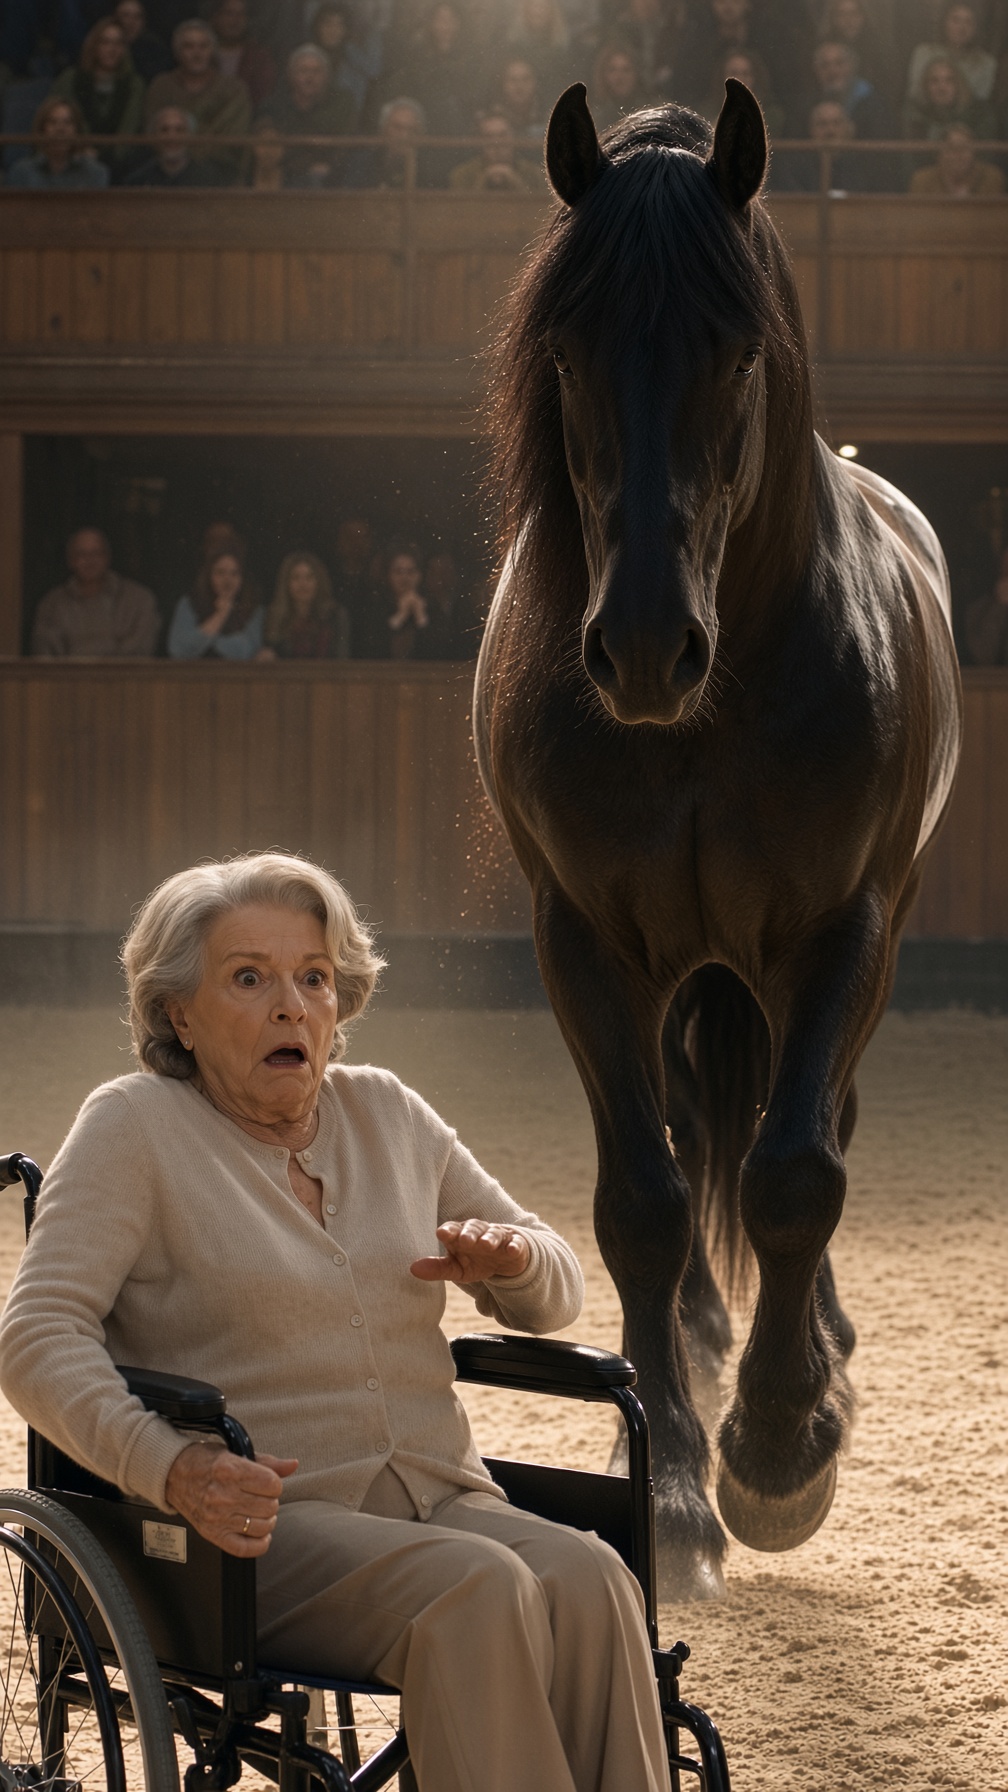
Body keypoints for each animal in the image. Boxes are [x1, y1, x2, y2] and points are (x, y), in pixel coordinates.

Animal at [473, 79, 962, 1598]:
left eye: (735, 350)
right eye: (569, 348)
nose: (641, 646)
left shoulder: (842, 930)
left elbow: (798, 1173)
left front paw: (781, 1454)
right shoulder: (583, 940)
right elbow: (644, 1196)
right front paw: (680, 1491)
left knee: (800, 1133)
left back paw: (823, 1364)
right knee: (694, 1148)